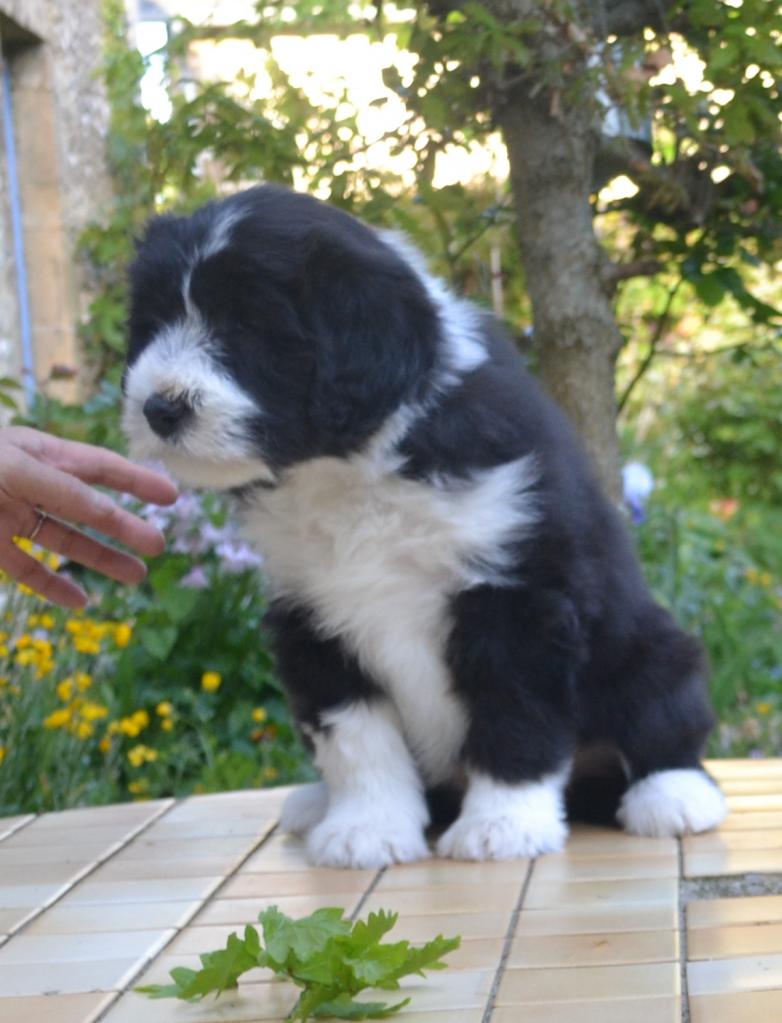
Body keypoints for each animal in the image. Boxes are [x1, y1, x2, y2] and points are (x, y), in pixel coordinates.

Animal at [122, 184, 728, 863]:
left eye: (247, 326)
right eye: (152, 322)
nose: (159, 408)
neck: (349, 469)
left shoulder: (517, 594)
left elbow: (515, 711)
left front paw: (503, 825)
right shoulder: (313, 619)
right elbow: (357, 737)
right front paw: (367, 828)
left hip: (649, 644)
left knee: (663, 716)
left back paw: (673, 795)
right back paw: (316, 804)